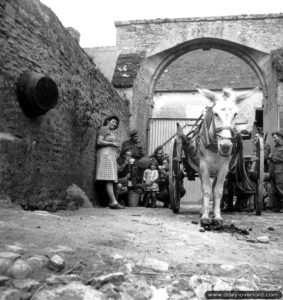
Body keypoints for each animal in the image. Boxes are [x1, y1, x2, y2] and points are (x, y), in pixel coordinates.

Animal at [178, 85, 260, 226]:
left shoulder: (223, 168)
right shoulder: (204, 166)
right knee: (202, 186)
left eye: (235, 114)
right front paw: (205, 217)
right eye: (216, 114)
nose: (226, 145)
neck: (215, 148)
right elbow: (206, 190)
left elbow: (217, 191)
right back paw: (202, 211)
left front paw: (217, 217)